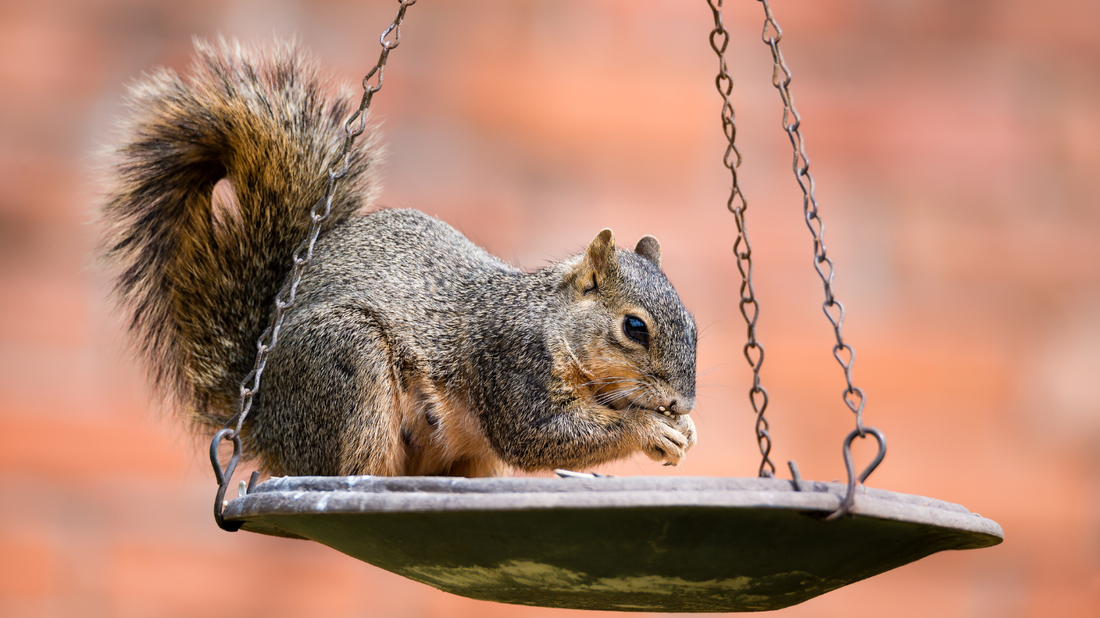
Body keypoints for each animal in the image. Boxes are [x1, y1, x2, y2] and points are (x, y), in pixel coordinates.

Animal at [99, 38, 698, 478]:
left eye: (693, 326)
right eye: (634, 327)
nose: (683, 405)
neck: (552, 324)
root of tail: (261, 421)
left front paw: (680, 433)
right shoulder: (510, 365)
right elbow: (539, 437)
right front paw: (650, 429)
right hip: (347, 363)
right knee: (344, 467)